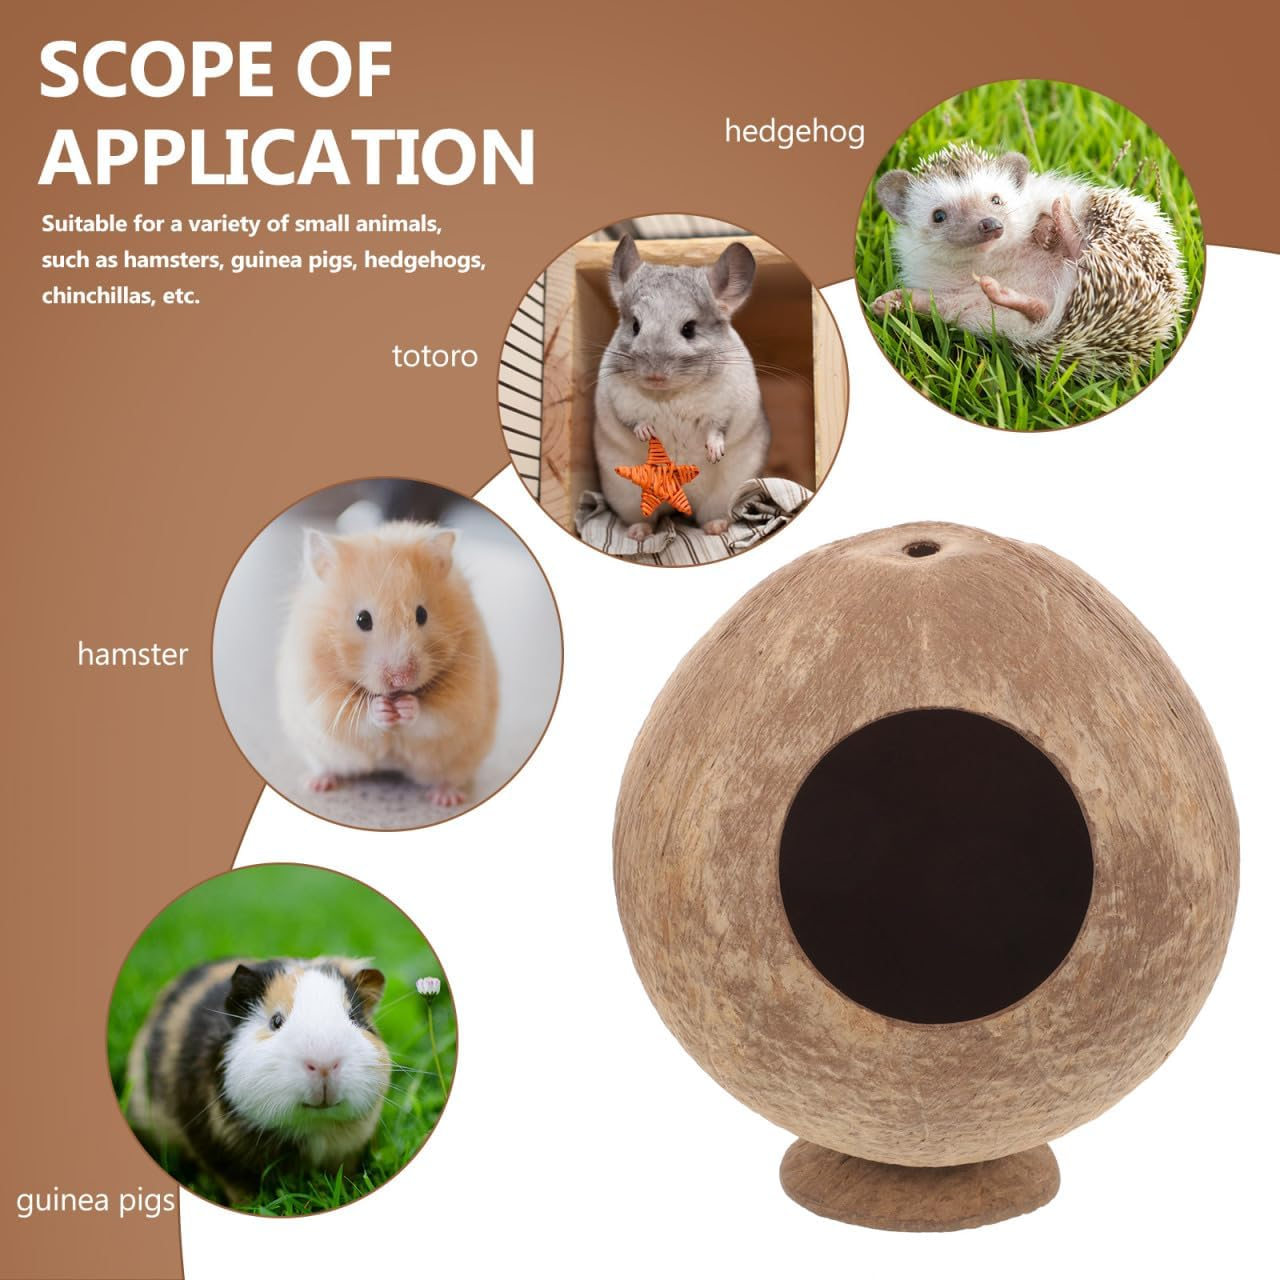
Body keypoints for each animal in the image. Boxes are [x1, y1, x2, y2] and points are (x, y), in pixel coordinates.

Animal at [125, 957, 391, 1202]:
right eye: (276, 1021)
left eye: (354, 1017)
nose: (324, 1064)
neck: (313, 1127)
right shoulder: (224, 1157)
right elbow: (241, 1188)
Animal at [276, 520, 498, 807]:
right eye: (362, 619)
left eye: (422, 614)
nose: (400, 679)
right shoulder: (319, 698)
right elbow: (356, 719)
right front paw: (382, 709)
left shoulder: (462, 700)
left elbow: (433, 716)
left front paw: (406, 706)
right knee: (324, 766)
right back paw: (316, 783)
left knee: (450, 777)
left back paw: (446, 798)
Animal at [594, 236, 771, 541]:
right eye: (635, 326)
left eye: (689, 328)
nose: (654, 375)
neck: (668, 395)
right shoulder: (618, 400)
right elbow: (632, 420)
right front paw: (646, 432)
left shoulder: (728, 405)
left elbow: (717, 428)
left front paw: (714, 452)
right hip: (626, 495)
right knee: (646, 519)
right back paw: (638, 533)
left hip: (726, 493)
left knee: (710, 516)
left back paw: (716, 527)